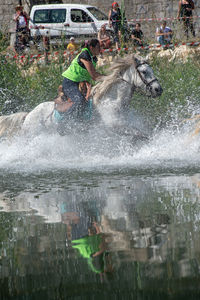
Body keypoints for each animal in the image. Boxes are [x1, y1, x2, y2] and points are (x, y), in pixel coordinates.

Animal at [0, 53, 162, 138]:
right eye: (144, 72)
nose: (158, 89)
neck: (111, 100)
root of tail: (28, 115)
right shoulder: (115, 126)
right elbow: (139, 134)